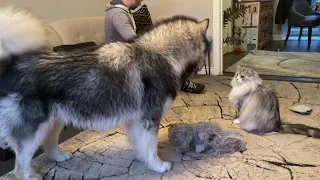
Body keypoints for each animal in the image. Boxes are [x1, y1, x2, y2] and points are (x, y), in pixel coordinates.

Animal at [0, 4, 211, 179]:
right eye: (208, 47)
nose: (203, 67)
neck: (161, 55)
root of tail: (12, 65)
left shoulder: (135, 121)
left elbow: (140, 145)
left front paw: (143, 160)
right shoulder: (150, 120)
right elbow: (151, 148)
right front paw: (158, 166)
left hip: (54, 121)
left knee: (49, 144)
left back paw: (59, 157)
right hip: (34, 130)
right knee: (20, 165)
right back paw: (30, 175)